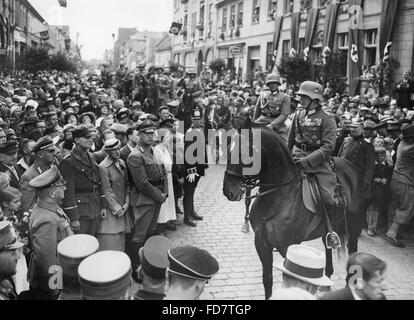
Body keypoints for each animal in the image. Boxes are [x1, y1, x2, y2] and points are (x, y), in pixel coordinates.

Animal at [225, 124, 364, 298]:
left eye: (245, 152)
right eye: (228, 149)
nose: (228, 191)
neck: (279, 197)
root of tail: (352, 168)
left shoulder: (288, 246)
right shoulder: (262, 243)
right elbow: (267, 280)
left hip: (353, 226)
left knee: (353, 252)